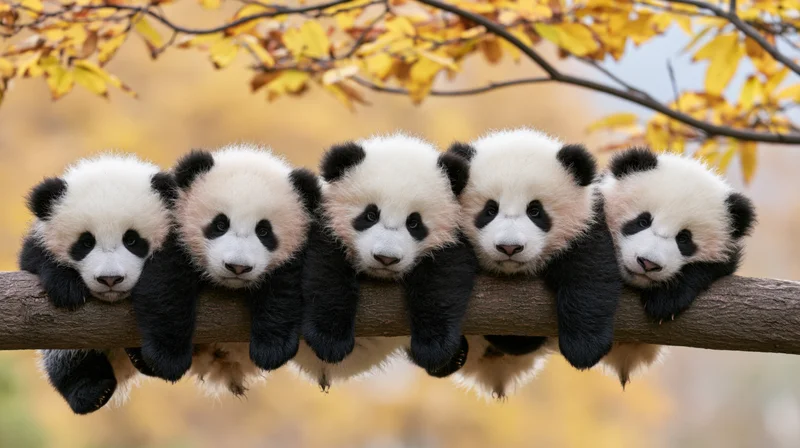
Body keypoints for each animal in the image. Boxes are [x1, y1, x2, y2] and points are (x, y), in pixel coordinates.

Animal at [18, 154, 175, 414]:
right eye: (85, 243)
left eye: (132, 240)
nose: (110, 279)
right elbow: (34, 258)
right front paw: (66, 288)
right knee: (65, 355)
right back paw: (91, 390)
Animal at [131, 144, 320, 396]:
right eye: (220, 224)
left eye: (264, 231)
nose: (237, 267)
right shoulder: (173, 235)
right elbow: (166, 287)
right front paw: (167, 358)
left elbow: (283, 290)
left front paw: (271, 349)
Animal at [293, 133, 477, 390]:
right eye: (370, 215)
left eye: (414, 222)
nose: (386, 258)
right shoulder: (324, 228)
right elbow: (326, 274)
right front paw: (329, 341)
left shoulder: (452, 240)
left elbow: (443, 282)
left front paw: (435, 349)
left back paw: (454, 358)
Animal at [446, 128, 621, 399]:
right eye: (490, 210)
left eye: (535, 211)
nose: (509, 247)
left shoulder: (584, 228)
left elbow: (590, 274)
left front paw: (584, 348)